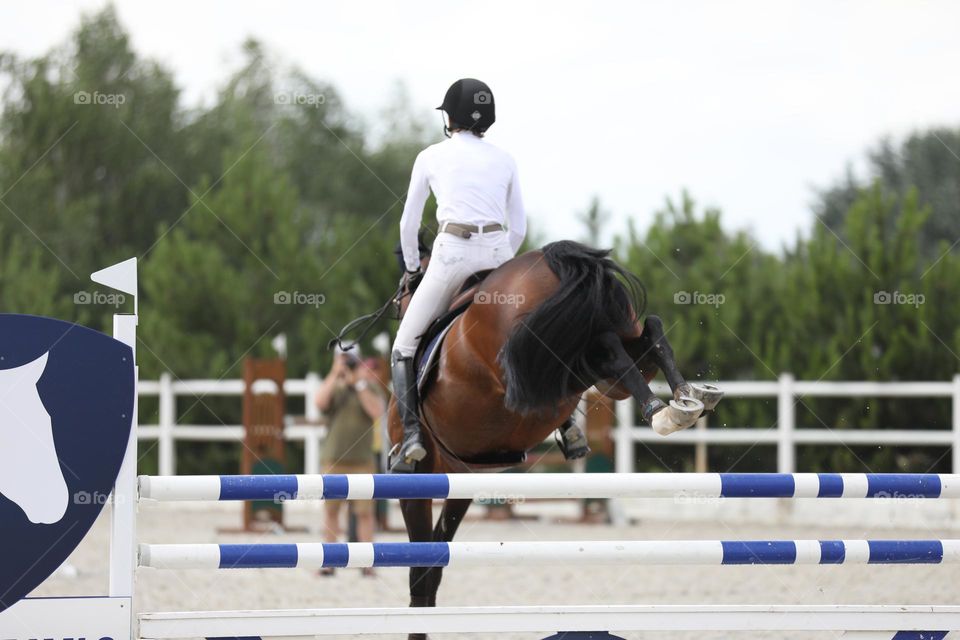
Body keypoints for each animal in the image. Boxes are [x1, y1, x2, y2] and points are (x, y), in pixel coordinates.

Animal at [386, 240, 721, 639]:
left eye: (404, 287)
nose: (397, 303)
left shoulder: (422, 482)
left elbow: (423, 572)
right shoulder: (461, 478)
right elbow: (432, 562)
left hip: (545, 371)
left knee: (612, 349)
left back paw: (669, 407)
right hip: (600, 367)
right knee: (639, 337)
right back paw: (684, 399)